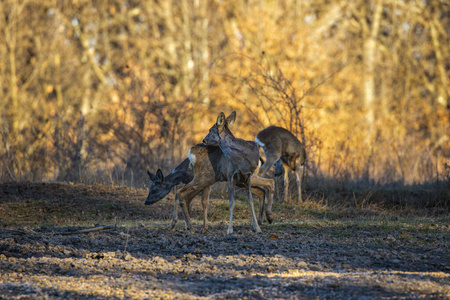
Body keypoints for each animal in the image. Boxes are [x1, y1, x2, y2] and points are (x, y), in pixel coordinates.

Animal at [146, 145, 276, 232]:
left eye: (154, 188)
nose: (146, 201)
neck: (184, 173)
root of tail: (259, 160)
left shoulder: (206, 184)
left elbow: (203, 202)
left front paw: (202, 226)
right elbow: (188, 200)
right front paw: (184, 224)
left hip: (233, 178)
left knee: (270, 182)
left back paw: (268, 218)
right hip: (240, 182)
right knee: (261, 190)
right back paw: (261, 221)